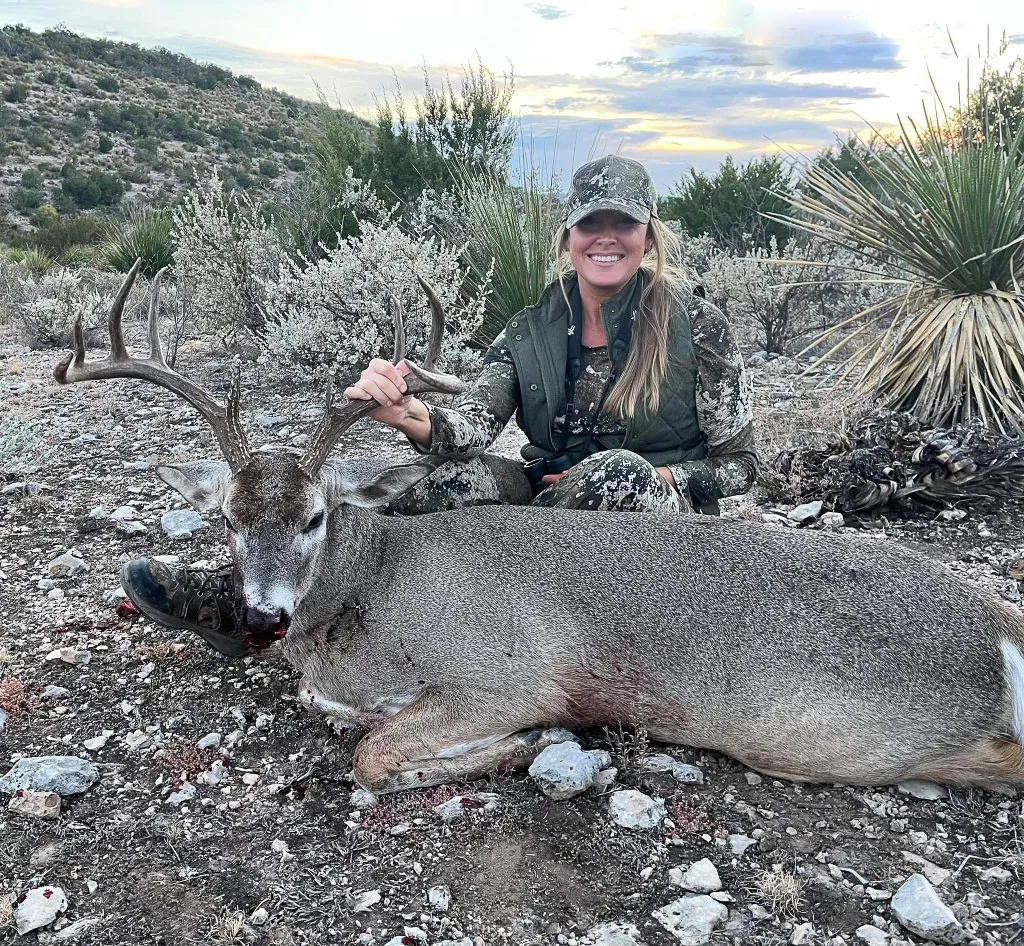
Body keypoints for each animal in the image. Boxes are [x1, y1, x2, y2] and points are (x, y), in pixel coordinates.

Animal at [55, 260, 1024, 795]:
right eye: (227, 517)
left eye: (317, 516)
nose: (260, 615)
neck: (373, 592)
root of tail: (998, 621)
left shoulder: (509, 675)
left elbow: (372, 754)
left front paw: (531, 746)